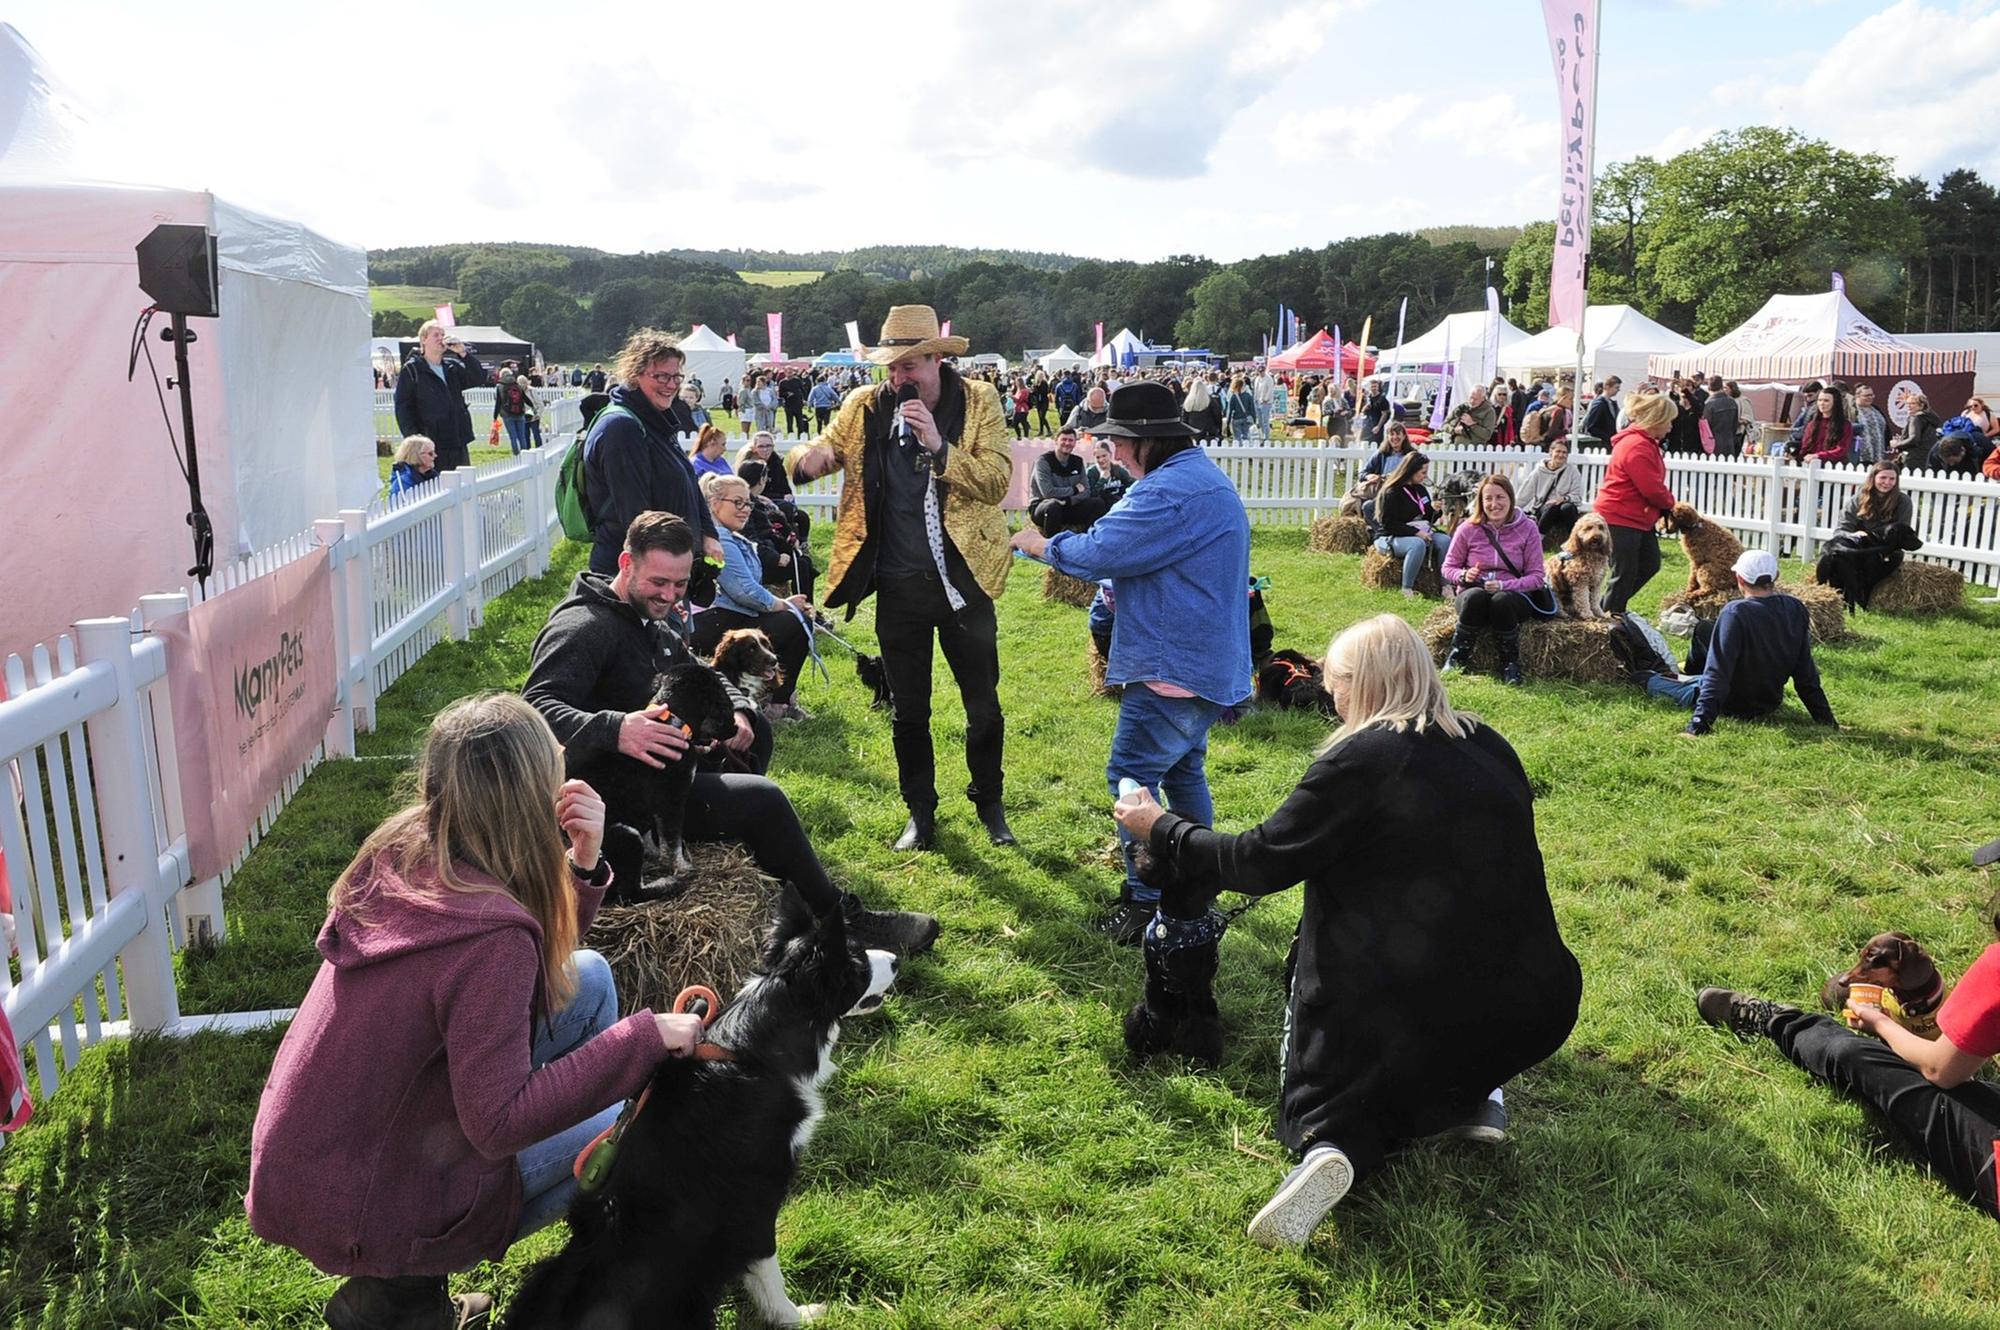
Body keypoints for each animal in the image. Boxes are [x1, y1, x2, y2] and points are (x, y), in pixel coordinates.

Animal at [504, 892, 904, 1328]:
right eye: (858, 960)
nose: (897, 959)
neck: (758, 1051)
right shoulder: (758, 1194)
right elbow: (768, 1266)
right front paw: (795, 1315)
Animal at [1120, 840, 1224, 1072]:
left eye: (1148, 845)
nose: (1129, 844)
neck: (1178, 917)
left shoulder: (1194, 982)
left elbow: (1201, 1029)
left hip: (1204, 1003)